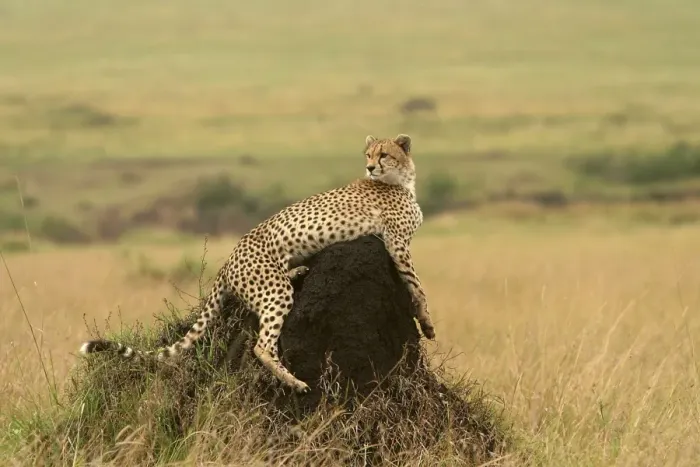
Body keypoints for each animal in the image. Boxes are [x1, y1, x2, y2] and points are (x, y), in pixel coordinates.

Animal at [79, 133, 435, 394]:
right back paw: (295, 382)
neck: (401, 180)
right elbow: (417, 287)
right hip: (275, 292)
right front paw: (426, 322)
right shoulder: (397, 244)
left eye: (383, 155)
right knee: (261, 346)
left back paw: (299, 271)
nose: (371, 168)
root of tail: (227, 262)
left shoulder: (395, 243)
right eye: (368, 155)